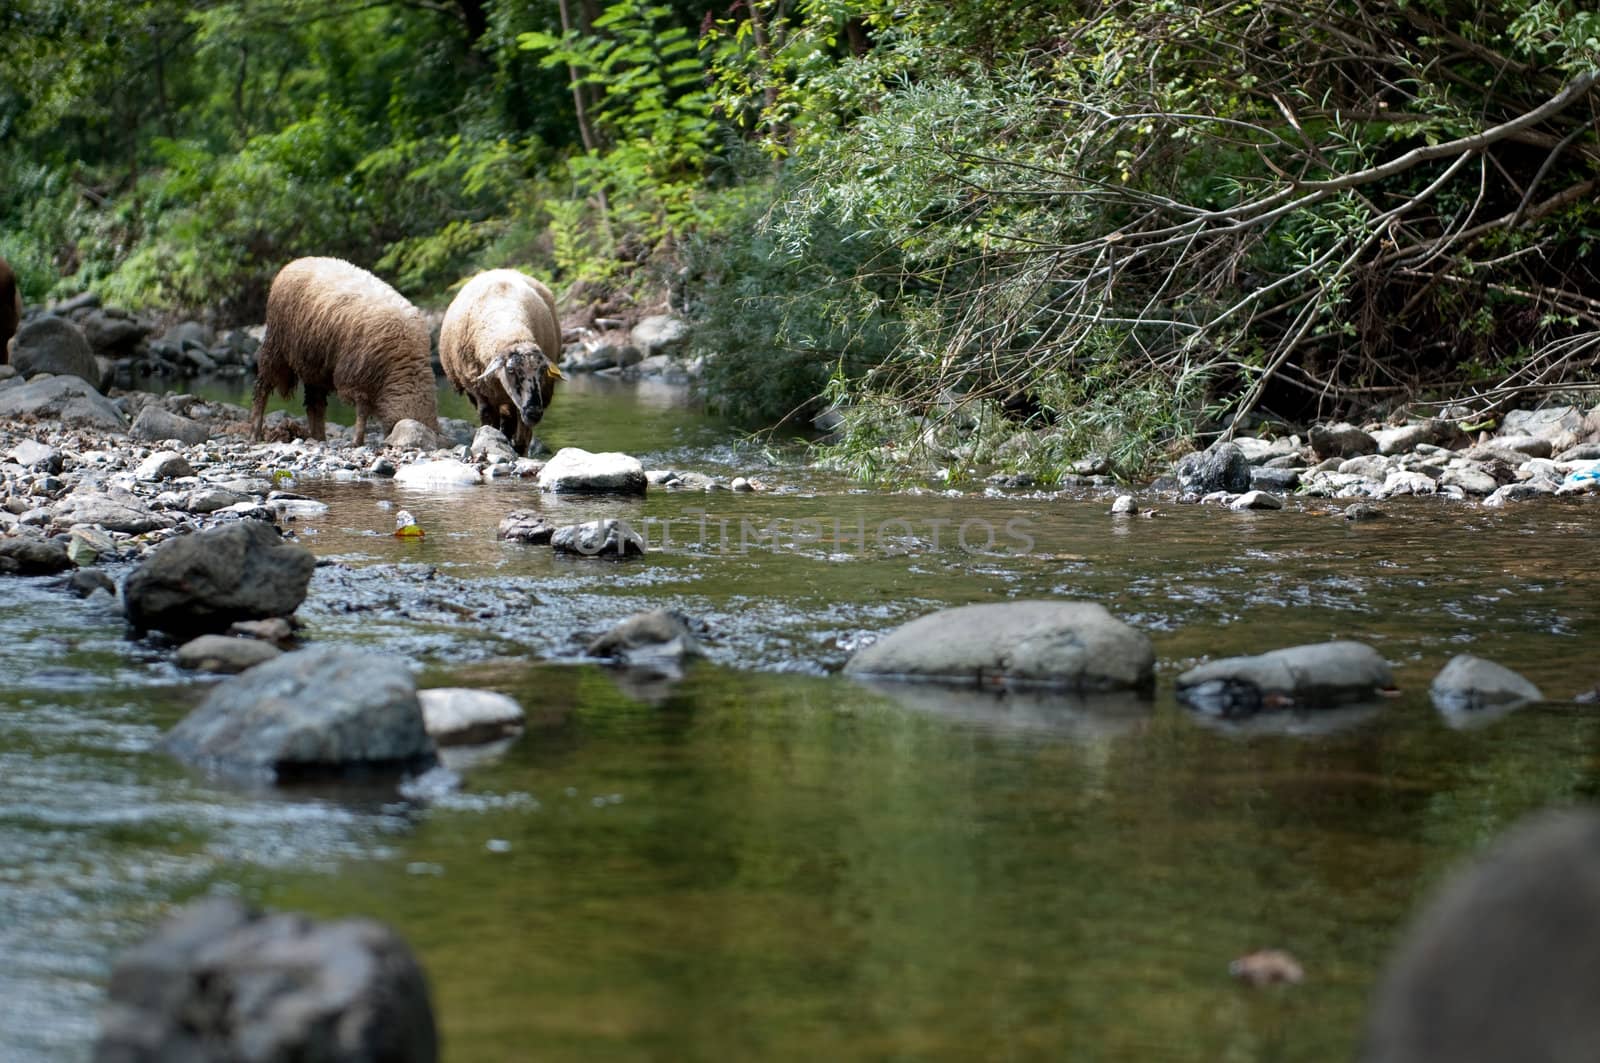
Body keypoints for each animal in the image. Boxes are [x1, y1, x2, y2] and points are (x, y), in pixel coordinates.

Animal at [244, 259, 435, 445]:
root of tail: (293, 264)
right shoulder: (354, 376)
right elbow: (362, 410)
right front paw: (357, 440)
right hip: (276, 347)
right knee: (262, 388)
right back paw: (255, 433)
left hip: (314, 362)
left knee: (315, 403)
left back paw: (318, 437)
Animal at [438, 267, 563, 454]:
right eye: (510, 370)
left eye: (542, 371)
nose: (534, 413)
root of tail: (499, 269)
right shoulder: (479, 392)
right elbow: (489, 423)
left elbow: (522, 437)